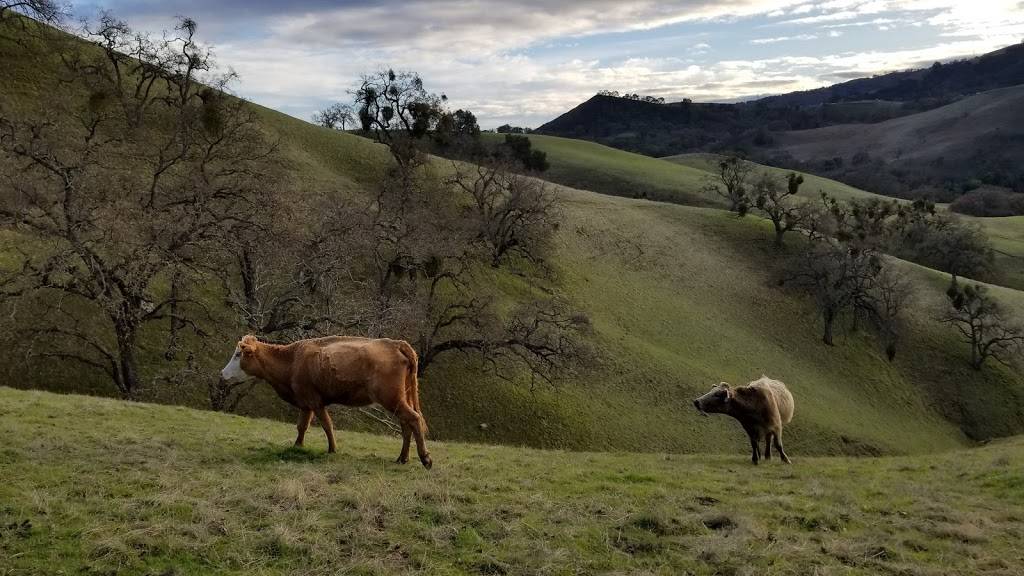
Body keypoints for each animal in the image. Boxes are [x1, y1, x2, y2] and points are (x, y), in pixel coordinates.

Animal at [220, 332, 432, 467]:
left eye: (238, 354)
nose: (222, 373)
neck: (292, 360)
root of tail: (396, 343)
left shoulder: (314, 401)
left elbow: (326, 425)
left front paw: (332, 449)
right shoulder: (305, 403)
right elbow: (302, 426)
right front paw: (298, 446)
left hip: (391, 398)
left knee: (413, 419)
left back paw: (425, 459)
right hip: (400, 399)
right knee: (406, 425)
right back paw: (402, 458)